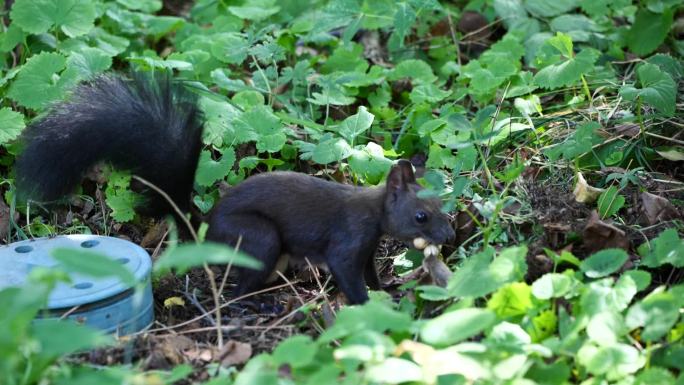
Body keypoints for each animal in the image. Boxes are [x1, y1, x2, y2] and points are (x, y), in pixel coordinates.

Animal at [14, 73, 454, 304]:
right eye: (421, 215)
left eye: (443, 206)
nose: (449, 235)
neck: (374, 211)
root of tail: (206, 226)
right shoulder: (348, 241)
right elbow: (348, 274)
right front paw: (366, 308)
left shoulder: (366, 248)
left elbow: (370, 272)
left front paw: (386, 290)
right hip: (259, 237)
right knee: (237, 289)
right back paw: (251, 304)